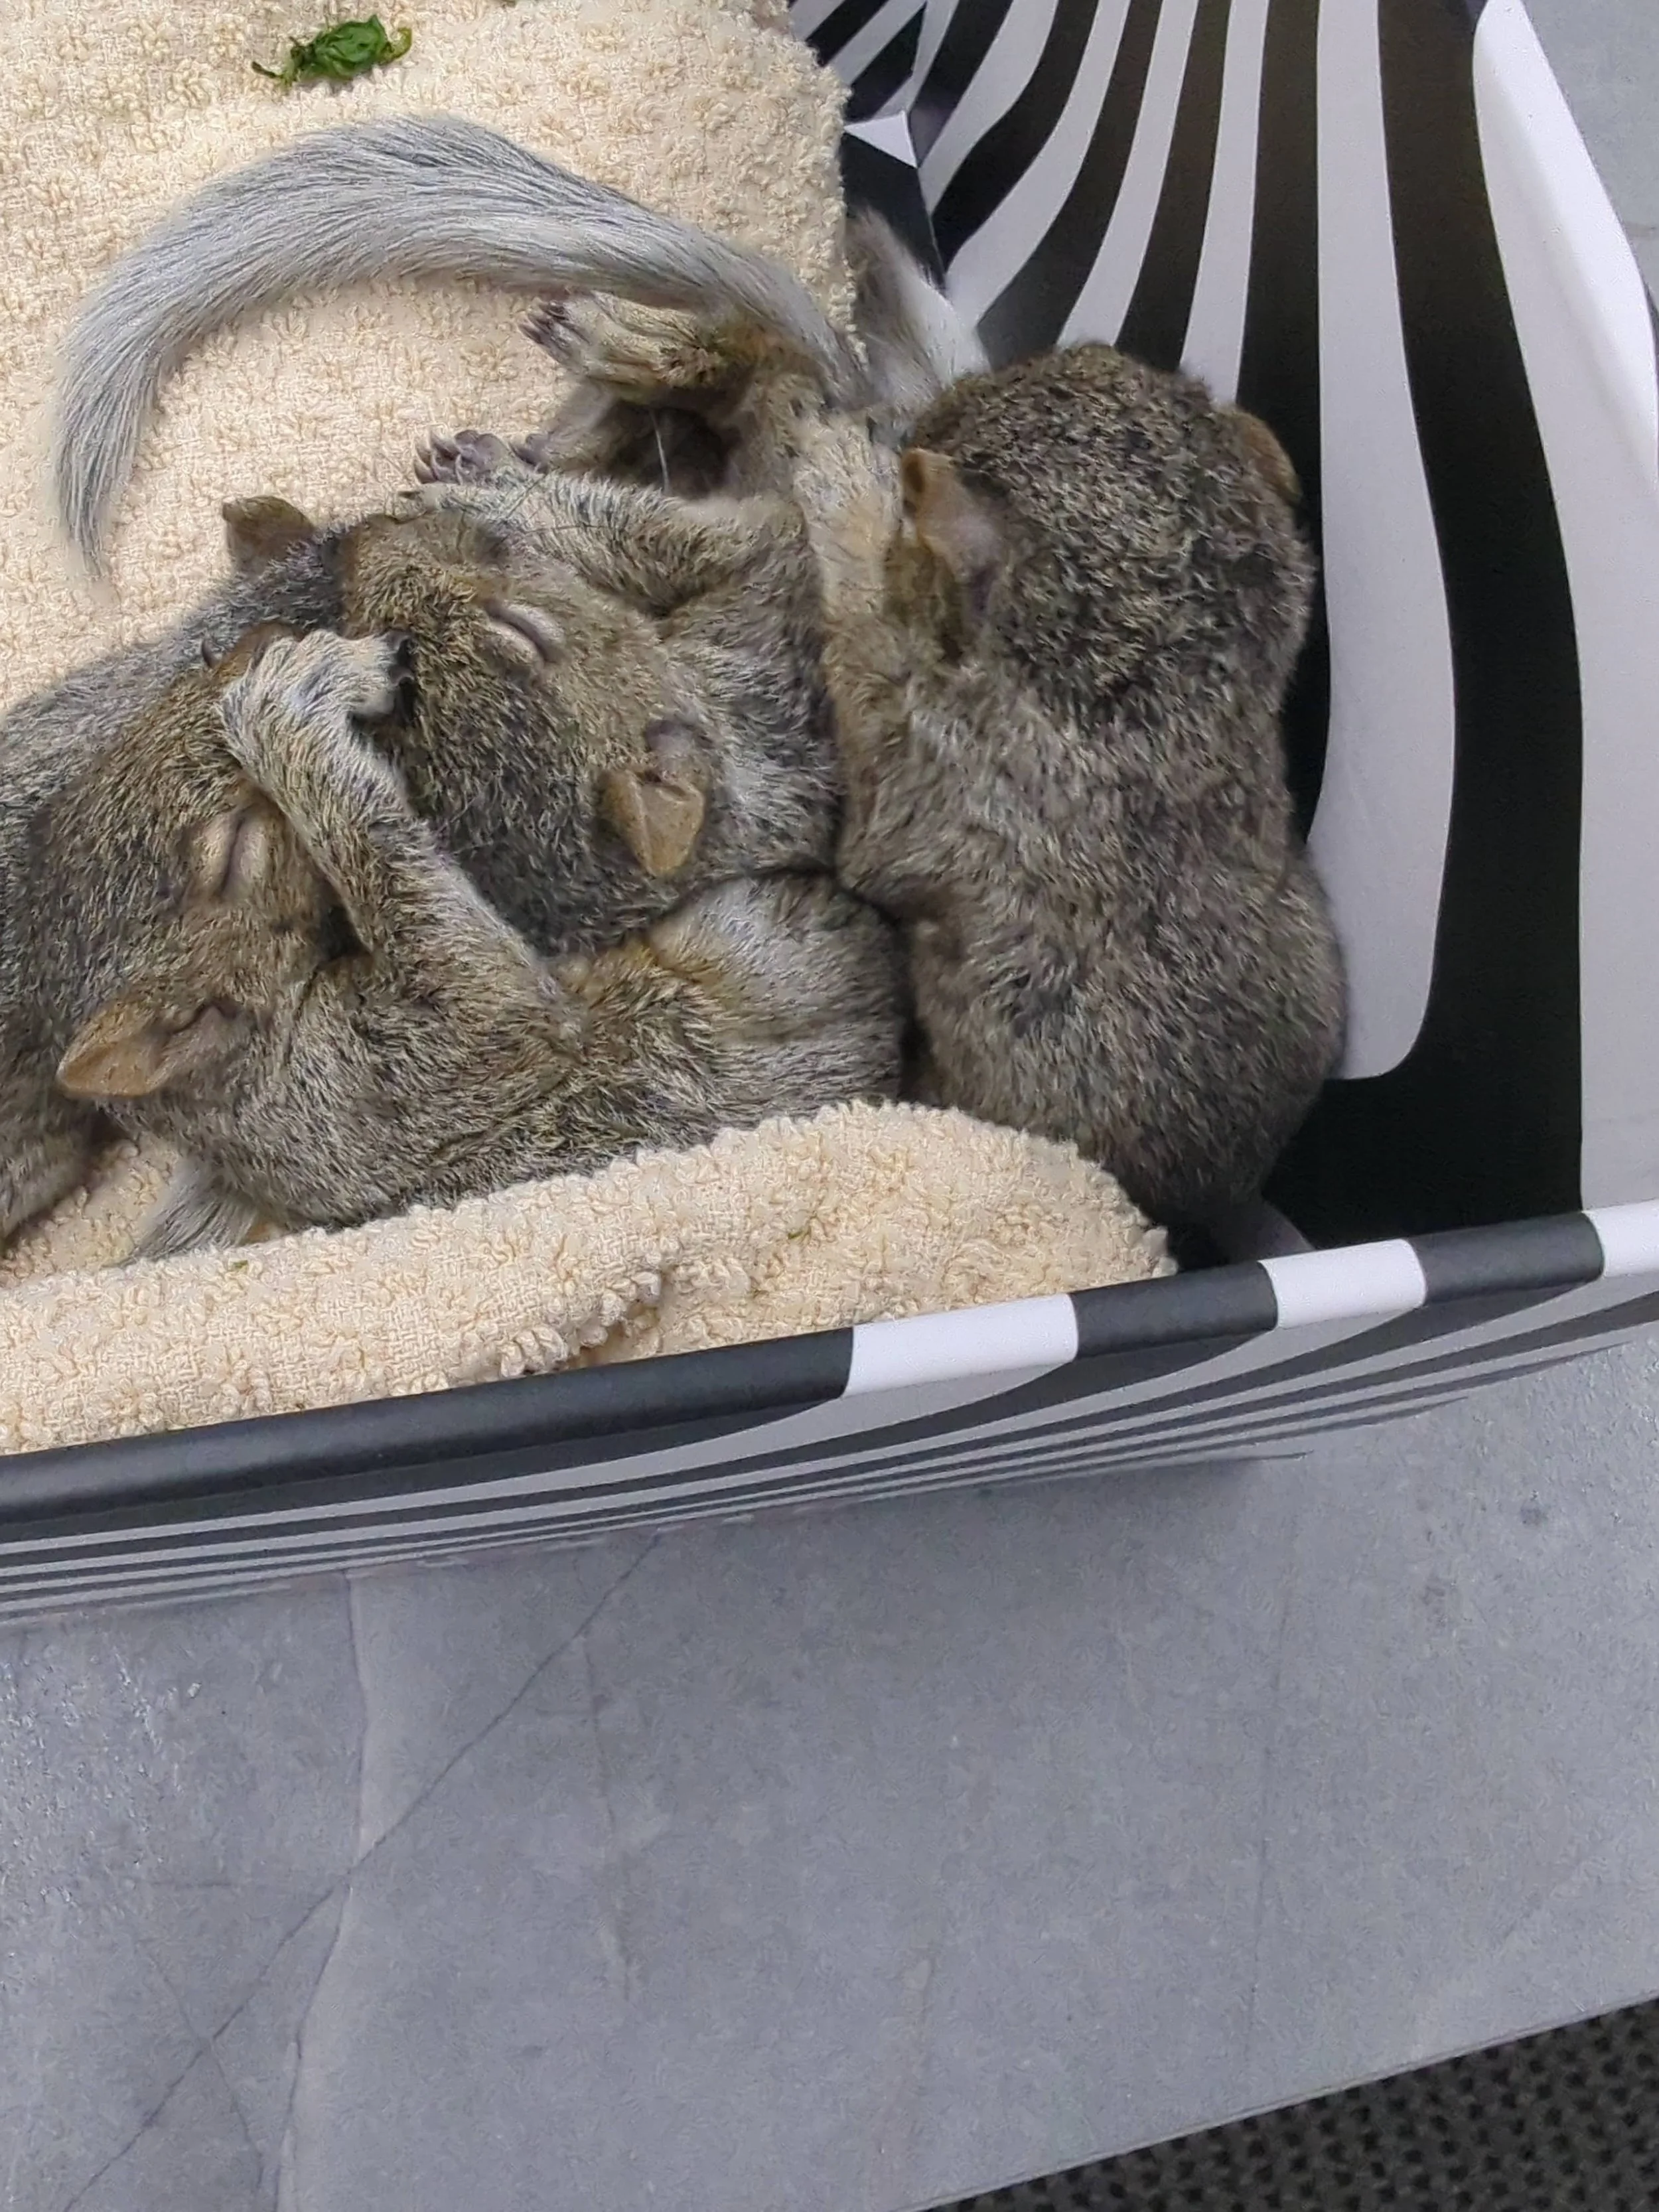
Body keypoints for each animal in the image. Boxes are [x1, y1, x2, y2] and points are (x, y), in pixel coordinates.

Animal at [55, 627, 904, 1246]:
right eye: (233, 853)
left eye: (166, 699)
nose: (254, 639)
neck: (243, 1081)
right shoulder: (368, 1093)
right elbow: (494, 1016)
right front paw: (291, 708)